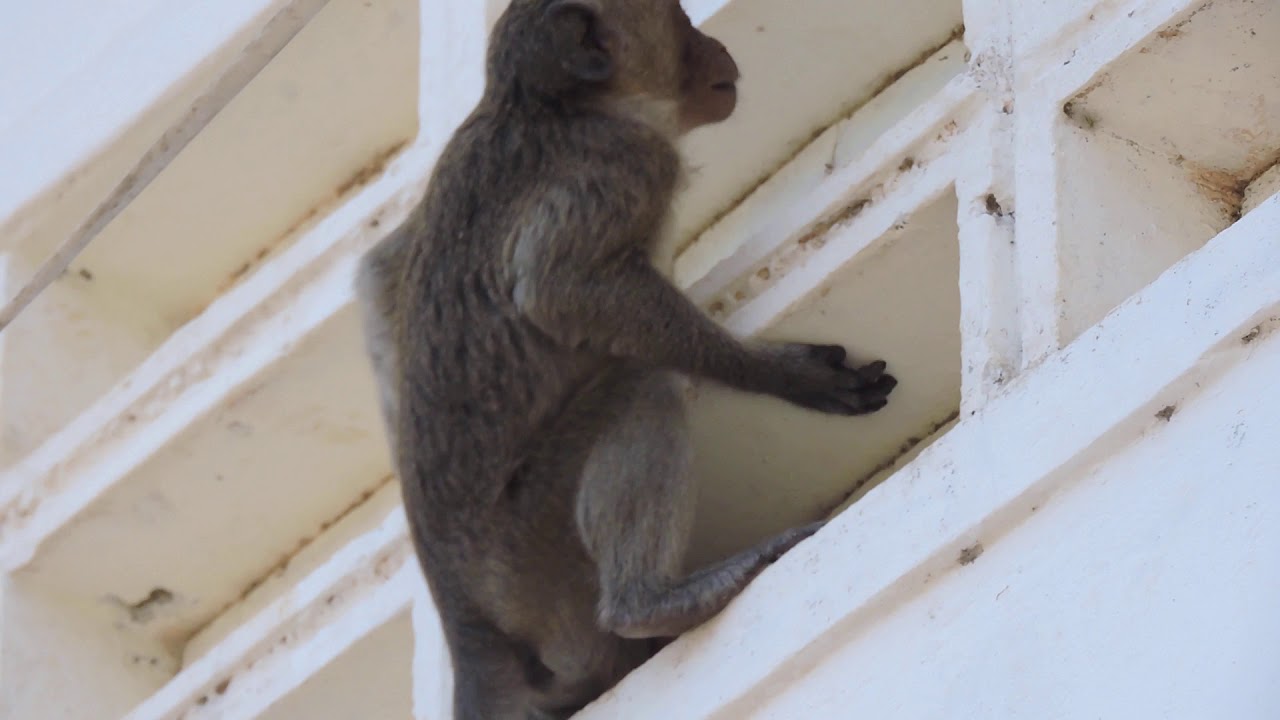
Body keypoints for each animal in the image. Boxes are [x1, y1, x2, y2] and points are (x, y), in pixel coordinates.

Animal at [353, 1, 898, 718]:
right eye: (680, 22)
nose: (715, 43)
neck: (544, 105)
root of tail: (472, 625)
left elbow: (381, 274)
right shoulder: (627, 163)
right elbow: (559, 291)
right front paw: (781, 374)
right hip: (537, 559)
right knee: (644, 382)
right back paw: (650, 603)